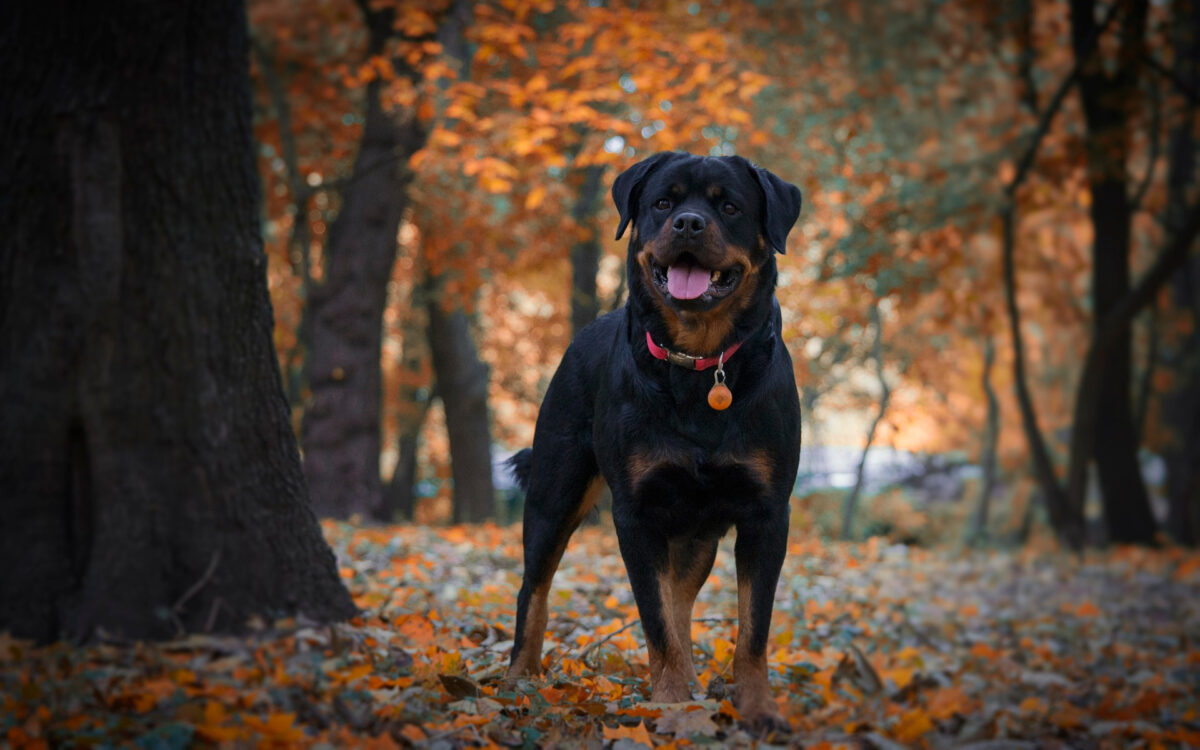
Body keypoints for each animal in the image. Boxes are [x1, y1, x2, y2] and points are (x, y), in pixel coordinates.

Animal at [506, 152, 806, 729]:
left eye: (729, 207)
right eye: (663, 202)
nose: (688, 223)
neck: (701, 363)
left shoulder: (767, 513)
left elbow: (750, 628)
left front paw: (756, 707)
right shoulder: (636, 512)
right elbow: (655, 621)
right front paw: (671, 709)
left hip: (699, 529)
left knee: (682, 598)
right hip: (555, 491)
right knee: (534, 586)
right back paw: (519, 681)